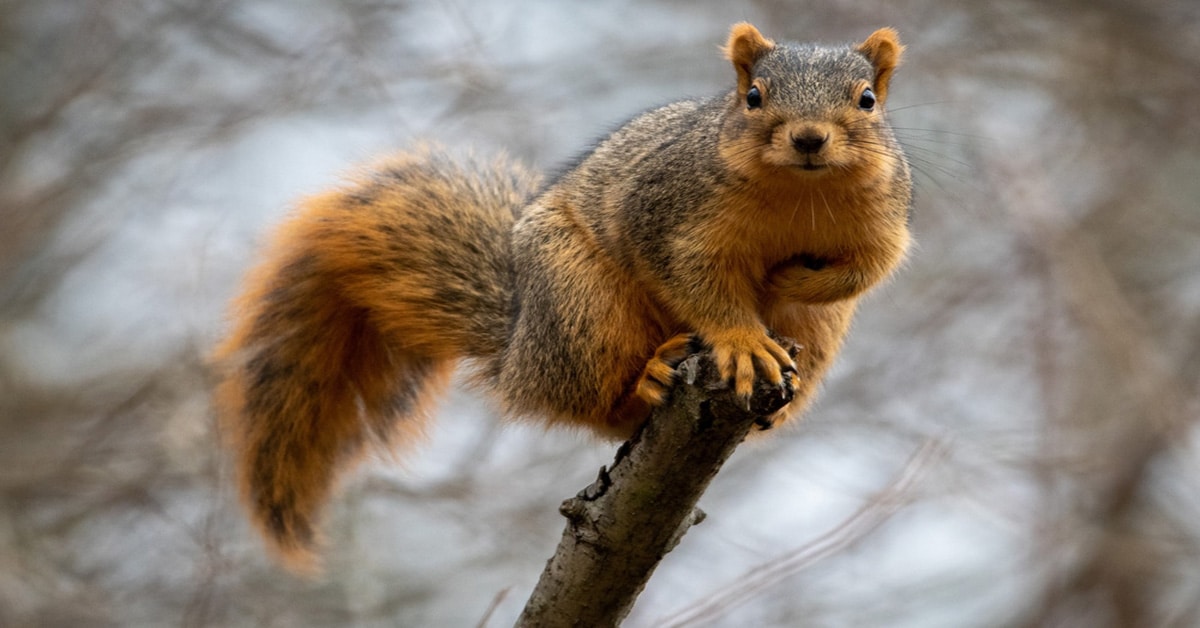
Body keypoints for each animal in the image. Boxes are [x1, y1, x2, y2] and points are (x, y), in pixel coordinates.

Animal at [213, 23, 912, 572]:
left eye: (867, 100)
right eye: (754, 96)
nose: (809, 138)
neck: (800, 196)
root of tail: (518, 349)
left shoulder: (885, 221)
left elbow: (864, 272)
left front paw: (793, 280)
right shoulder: (666, 217)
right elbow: (697, 283)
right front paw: (742, 340)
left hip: (817, 336)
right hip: (579, 305)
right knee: (596, 400)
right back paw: (650, 377)